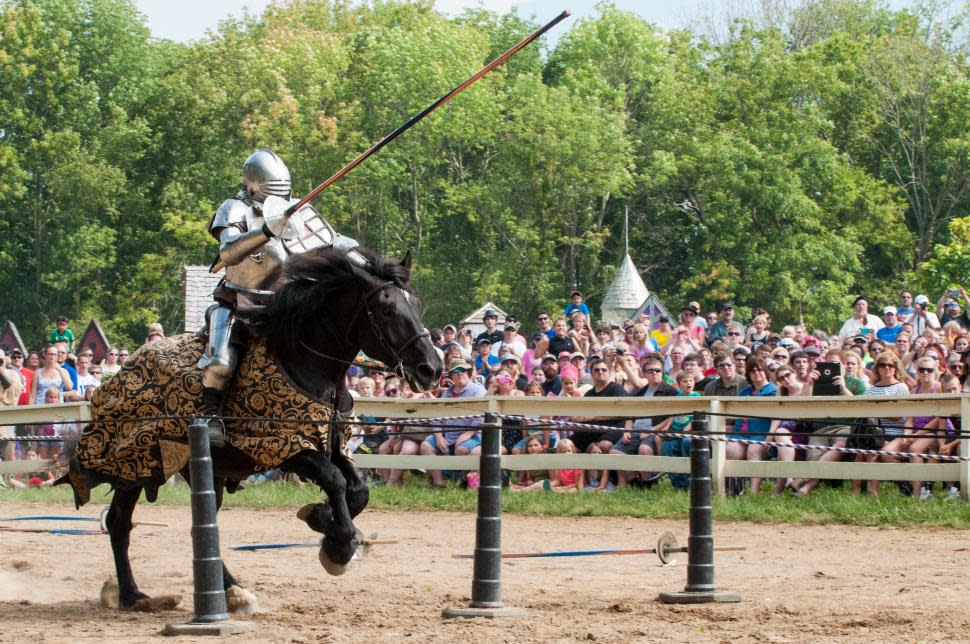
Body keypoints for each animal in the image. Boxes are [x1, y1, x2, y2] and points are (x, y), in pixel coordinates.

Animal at [57, 248, 442, 612]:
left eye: (416, 306)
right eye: (388, 309)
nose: (431, 368)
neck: (308, 364)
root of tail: (115, 375)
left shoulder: (333, 445)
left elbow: (359, 490)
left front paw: (323, 521)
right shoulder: (286, 447)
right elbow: (334, 481)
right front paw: (337, 544)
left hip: (200, 472)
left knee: (201, 526)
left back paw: (232, 592)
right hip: (133, 466)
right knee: (120, 523)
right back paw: (132, 594)